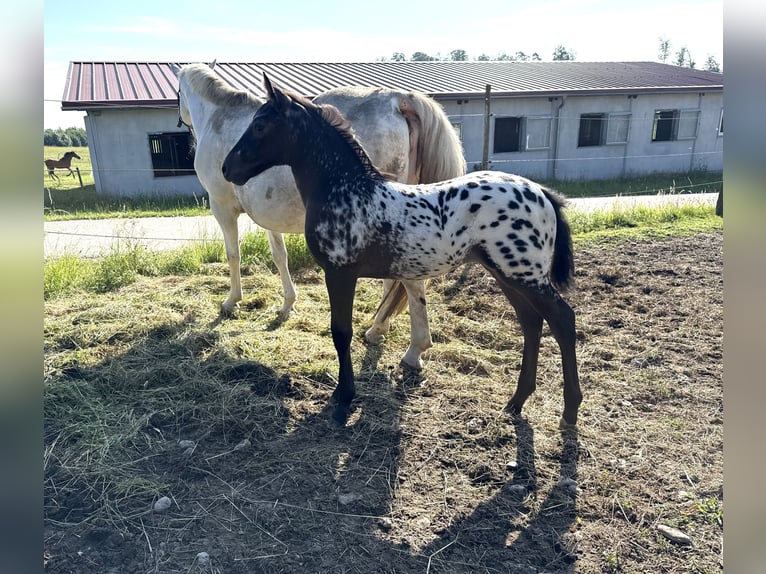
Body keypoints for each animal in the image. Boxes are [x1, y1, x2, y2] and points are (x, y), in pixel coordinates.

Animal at [172, 63, 466, 369]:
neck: (219, 115)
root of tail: (401, 99)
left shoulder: (221, 206)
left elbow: (233, 255)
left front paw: (232, 301)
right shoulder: (268, 217)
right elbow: (280, 256)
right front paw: (287, 304)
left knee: (412, 282)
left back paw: (411, 349)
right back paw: (379, 327)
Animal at [222, 75, 582, 429]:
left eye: (259, 125)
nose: (227, 169)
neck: (345, 189)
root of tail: (543, 193)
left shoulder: (340, 273)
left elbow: (341, 332)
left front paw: (343, 400)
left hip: (525, 274)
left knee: (562, 320)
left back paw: (569, 411)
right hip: (507, 273)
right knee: (531, 323)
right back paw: (516, 402)